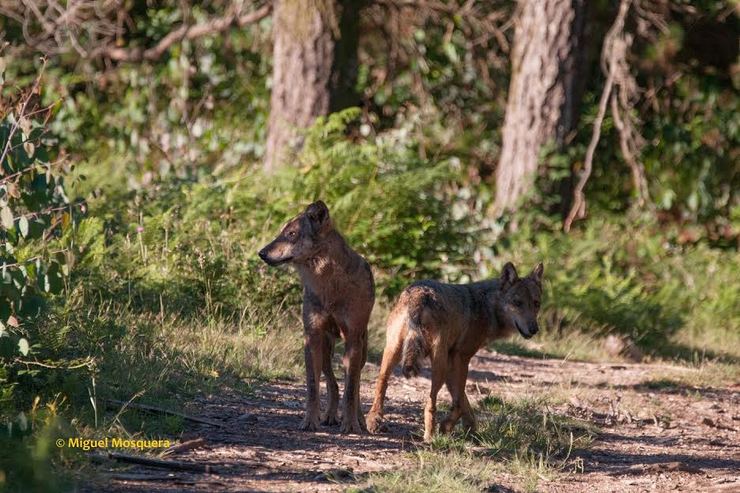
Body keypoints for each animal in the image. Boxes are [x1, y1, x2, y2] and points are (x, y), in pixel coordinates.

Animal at [260, 199, 376, 430]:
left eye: (292, 234)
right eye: (281, 233)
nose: (261, 253)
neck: (329, 284)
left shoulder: (352, 339)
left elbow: (352, 390)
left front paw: (351, 425)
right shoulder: (311, 337)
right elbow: (313, 387)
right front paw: (310, 421)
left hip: (360, 350)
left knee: (355, 384)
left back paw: (358, 420)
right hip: (325, 350)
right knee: (333, 384)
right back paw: (330, 415)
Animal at [366, 264, 544, 440]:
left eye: (536, 304)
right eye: (518, 303)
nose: (534, 329)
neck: (486, 307)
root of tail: (420, 294)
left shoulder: (452, 361)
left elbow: (463, 401)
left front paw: (470, 430)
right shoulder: (461, 358)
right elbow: (458, 401)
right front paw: (447, 427)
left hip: (393, 351)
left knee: (381, 382)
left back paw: (373, 420)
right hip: (438, 363)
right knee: (430, 401)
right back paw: (429, 436)